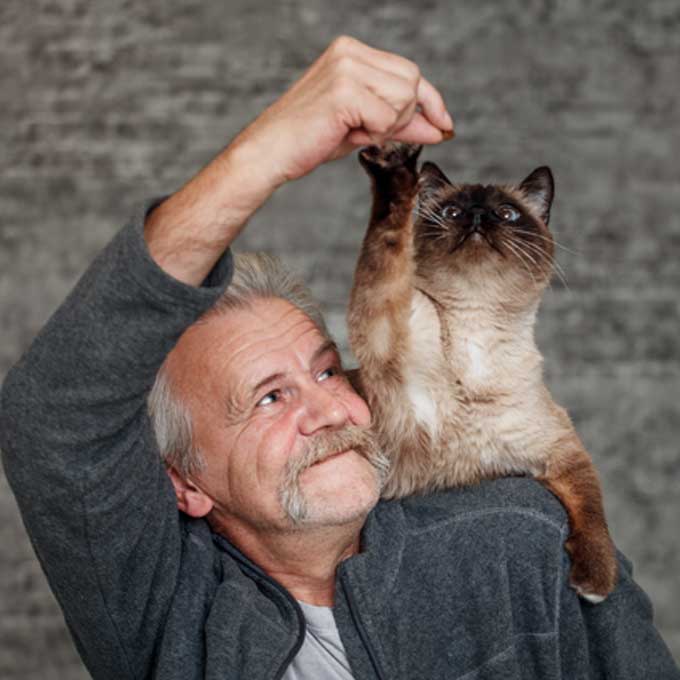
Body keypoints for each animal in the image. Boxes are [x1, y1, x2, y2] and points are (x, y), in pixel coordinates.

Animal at [348, 142, 620, 600]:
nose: (477, 217)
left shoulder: (559, 450)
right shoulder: (384, 330)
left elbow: (593, 512)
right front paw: (394, 173)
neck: (477, 328)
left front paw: (595, 583)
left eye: (506, 214)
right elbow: (386, 244)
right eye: (453, 211)